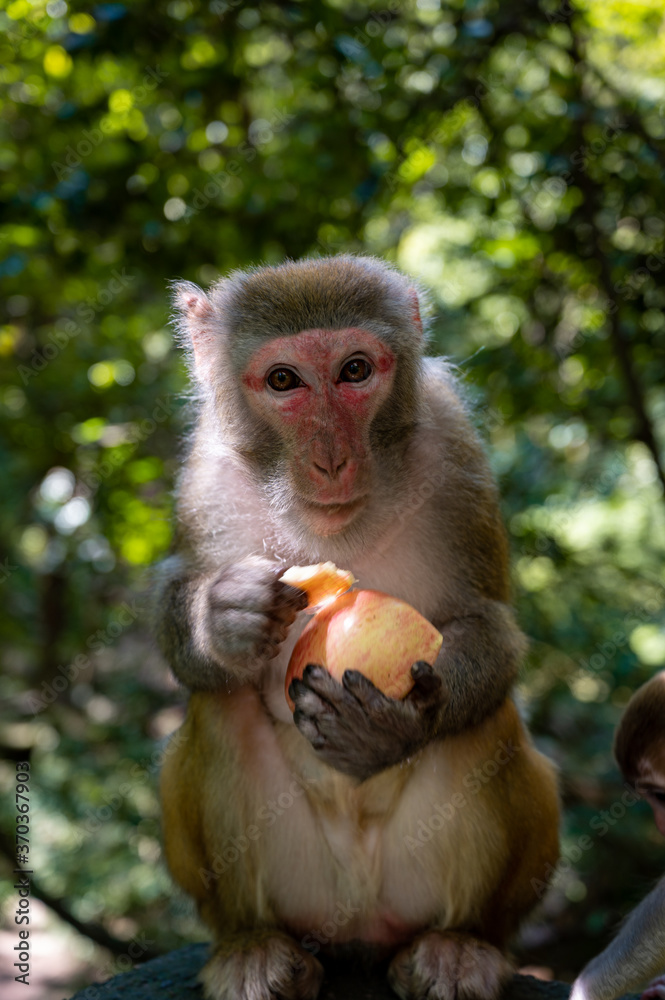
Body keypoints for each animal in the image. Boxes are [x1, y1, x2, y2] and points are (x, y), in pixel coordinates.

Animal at [157, 258, 560, 1000]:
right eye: (282, 381)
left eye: (353, 370)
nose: (331, 460)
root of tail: (357, 923)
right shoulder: (204, 475)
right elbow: (180, 610)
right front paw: (222, 618)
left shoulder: (454, 444)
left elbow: (486, 624)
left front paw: (390, 730)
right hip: (304, 890)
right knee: (222, 704)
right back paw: (253, 947)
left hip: (414, 889)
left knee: (483, 718)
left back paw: (458, 947)